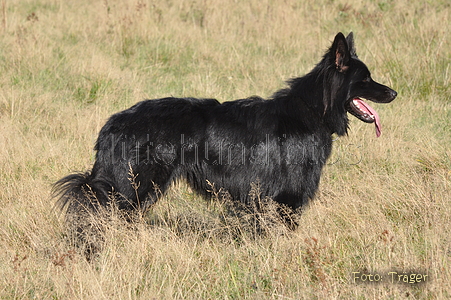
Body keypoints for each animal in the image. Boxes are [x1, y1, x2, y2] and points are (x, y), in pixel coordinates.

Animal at [54, 32, 398, 227]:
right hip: (131, 189)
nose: (395, 93)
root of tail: (112, 123)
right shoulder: (288, 199)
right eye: (366, 79)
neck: (313, 110)